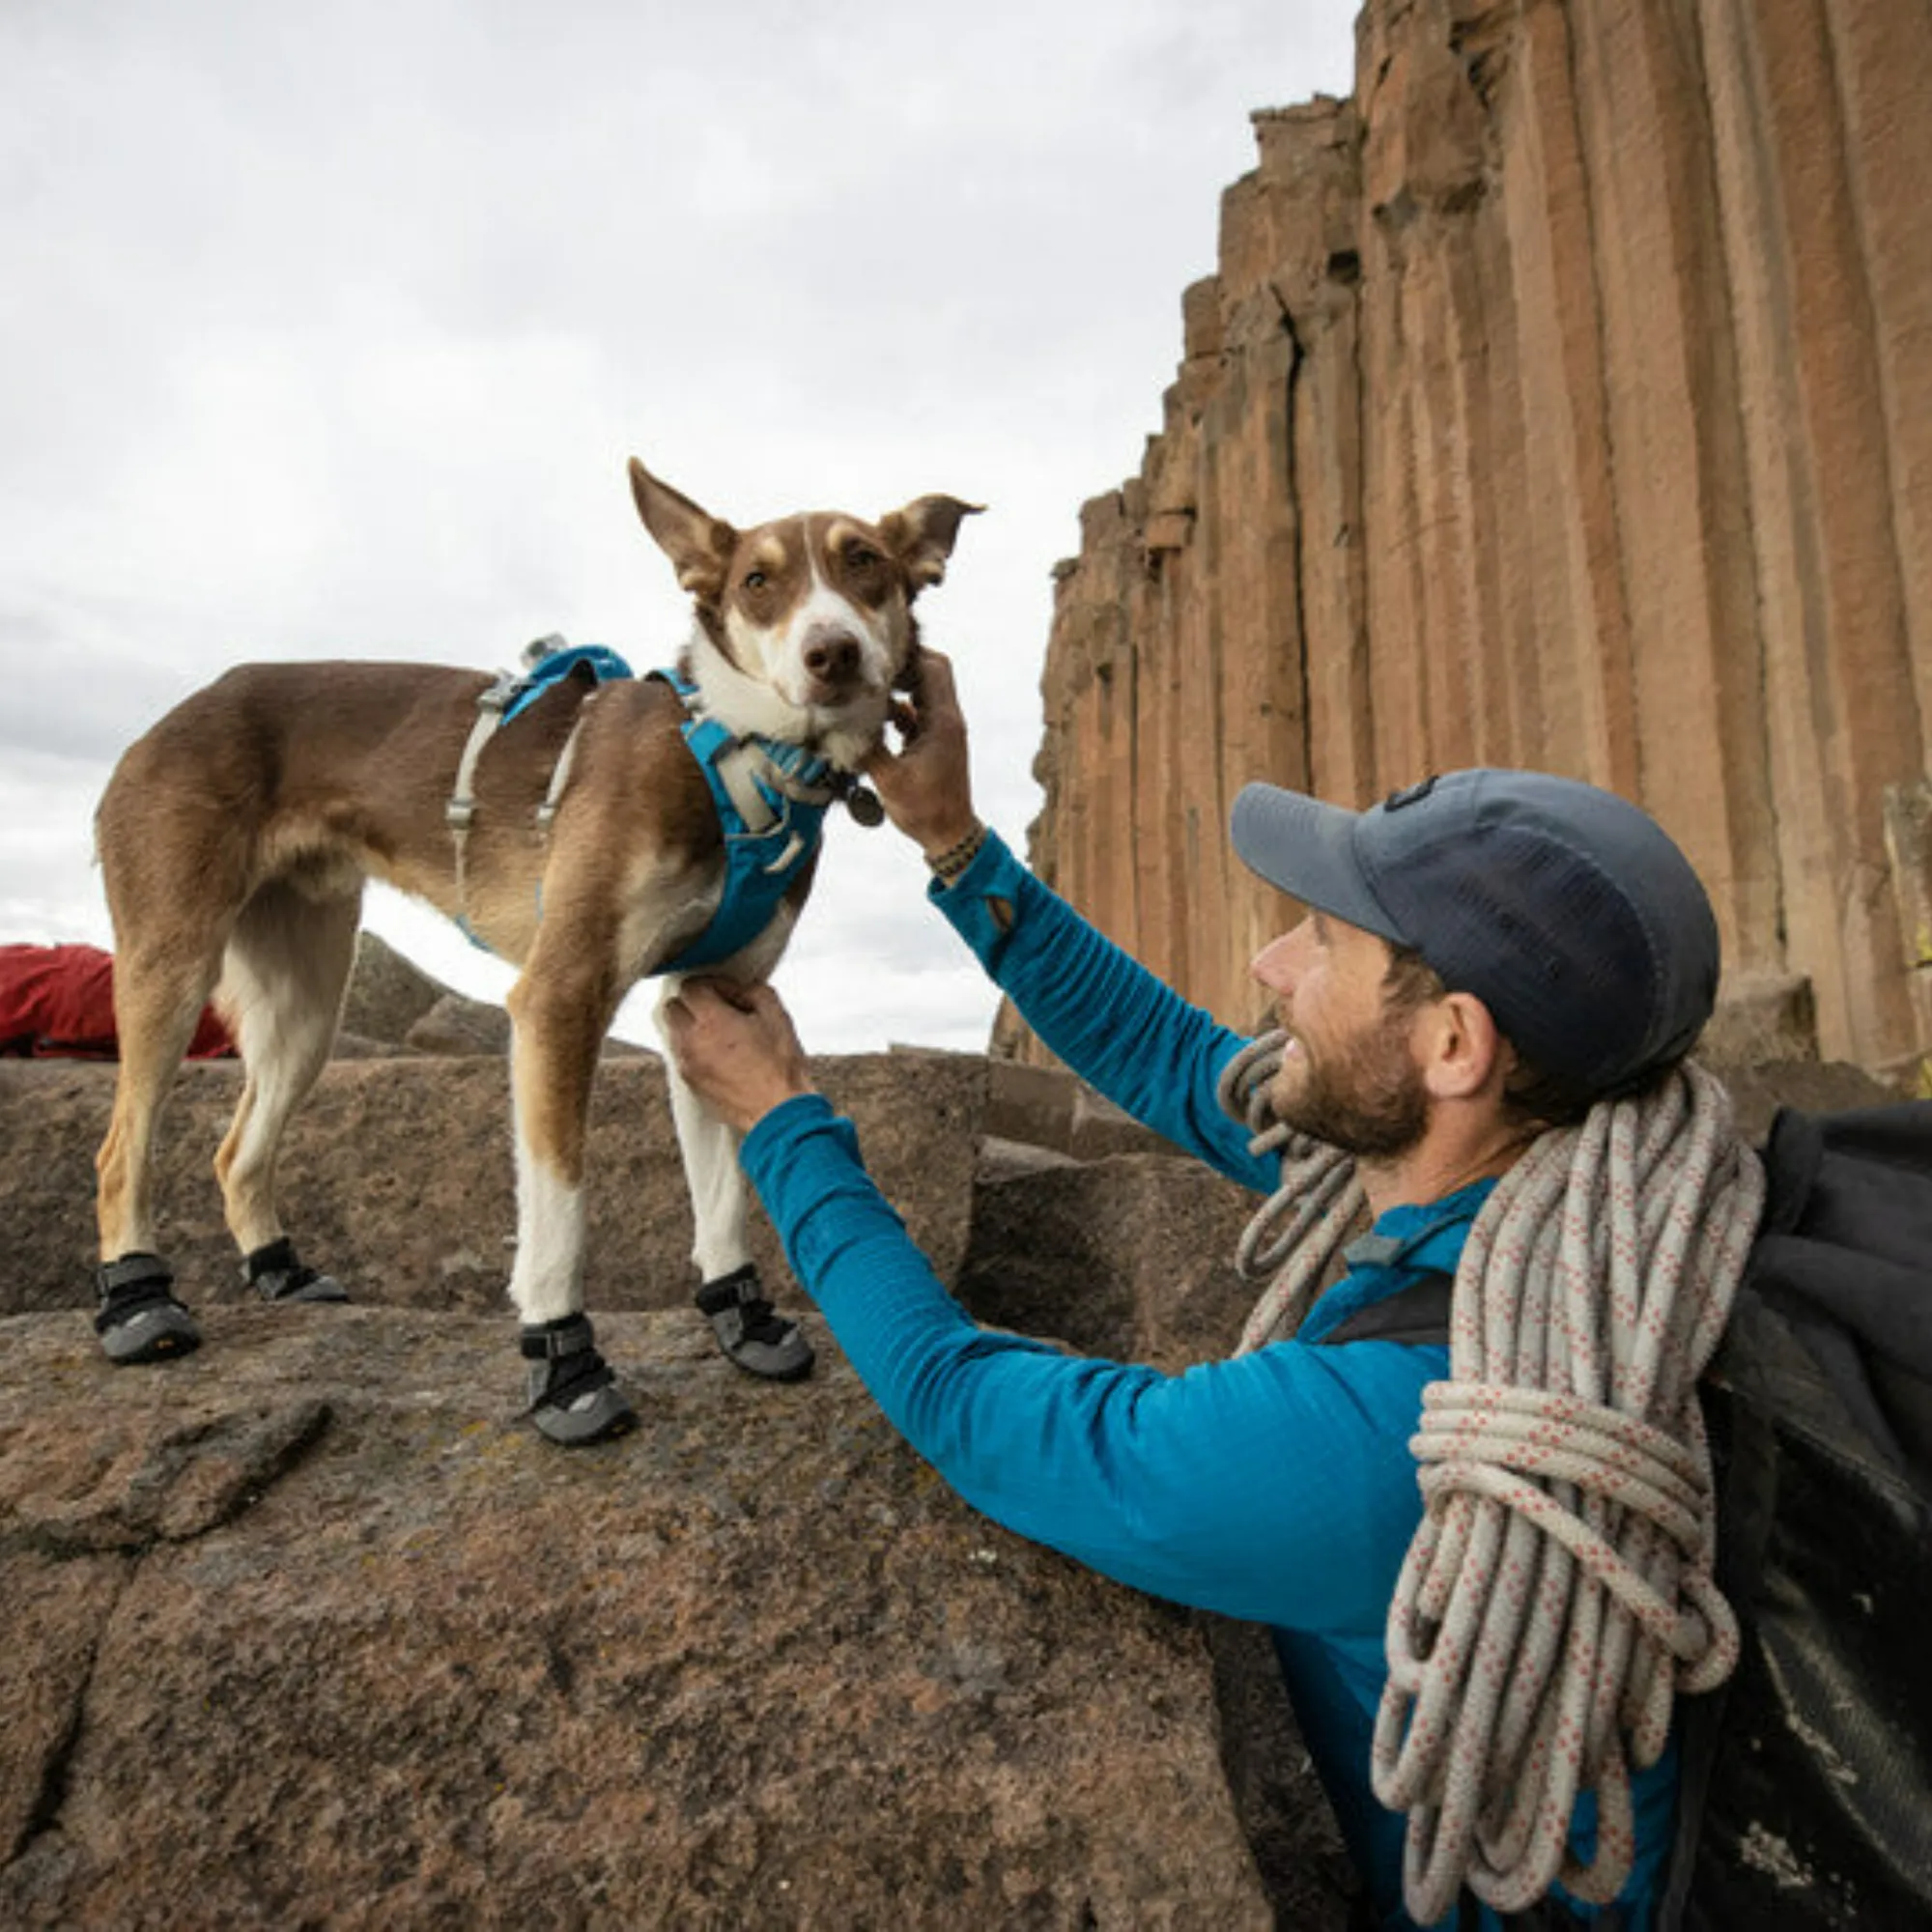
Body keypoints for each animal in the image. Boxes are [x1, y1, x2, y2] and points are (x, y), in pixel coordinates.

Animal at [91, 460, 981, 1445]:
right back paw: (137, 1303)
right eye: (758, 580)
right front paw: (565, 1365)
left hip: (306, 1007)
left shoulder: (712, 998)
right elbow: (562, 1210)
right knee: (121, 1151)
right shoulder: (561, 997)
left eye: (866, 563)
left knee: (234, 1150)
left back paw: (278, 1270)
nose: (834, 653)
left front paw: (741, 1319)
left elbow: (723, 1192)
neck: (738, 755)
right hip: (172, 966)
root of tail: (171, 715)